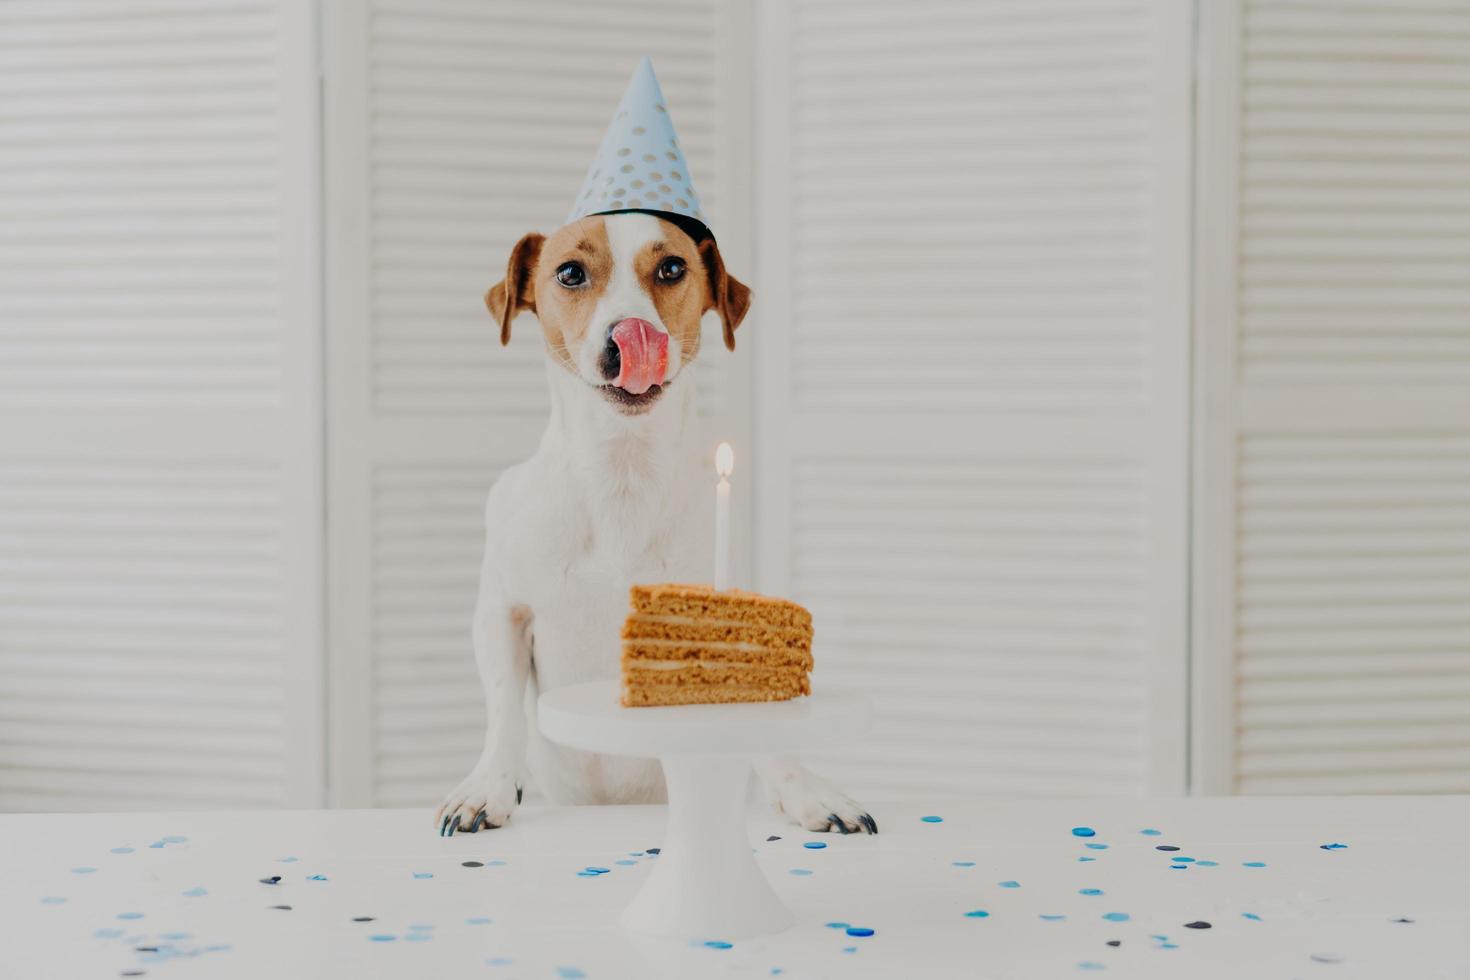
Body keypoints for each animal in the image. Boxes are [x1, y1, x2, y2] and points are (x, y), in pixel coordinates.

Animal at [432, 213, 870, 834]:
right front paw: (488, 787)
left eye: (672, 268)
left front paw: (804, 789)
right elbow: (502, 710)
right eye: (570, 272)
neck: (623, 470)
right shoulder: (503, 613)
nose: (630, 335)